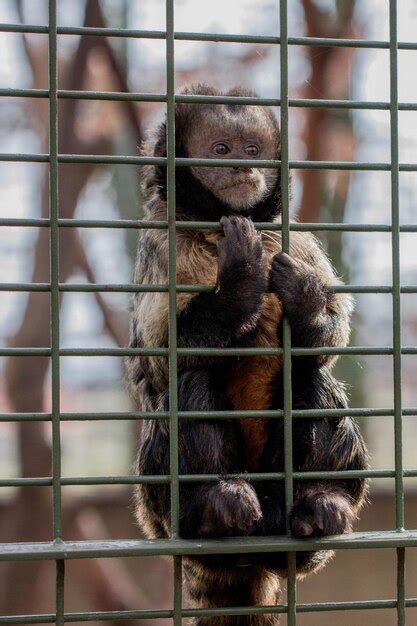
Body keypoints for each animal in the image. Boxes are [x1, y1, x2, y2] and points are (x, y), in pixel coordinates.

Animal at [127, 84, 368, 624]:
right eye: (221, 149)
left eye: (252, 149)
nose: (242, 166)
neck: (217, 227)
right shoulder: (160, 246)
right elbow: (155, 362)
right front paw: (239, 283)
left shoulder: (294, 238)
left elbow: (330, 339)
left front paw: (303, 300)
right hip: (155, 508)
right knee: (191, 385)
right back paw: (216, 508)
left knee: (309, 377)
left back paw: (323, 503)